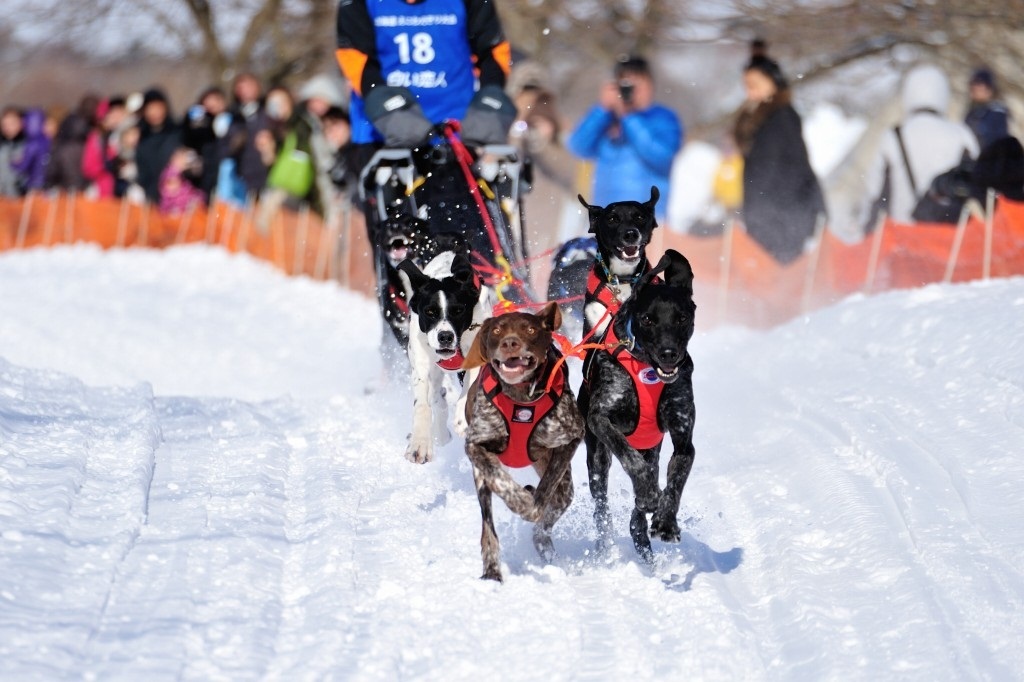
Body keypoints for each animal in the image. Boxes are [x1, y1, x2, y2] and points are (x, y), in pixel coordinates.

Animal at [397, 233, 493, 462]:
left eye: (459, 310)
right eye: (429, 312)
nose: (445, 337)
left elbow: (471, 385)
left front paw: (462, 419)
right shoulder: (421, 360)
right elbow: (423, 404)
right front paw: (420, 443)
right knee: (437, 398)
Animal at [464, 303, 585, 577]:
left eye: (530, 329)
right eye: (497, 330)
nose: (510, 343)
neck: (520, 398)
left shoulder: (571, 437)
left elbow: (543, 495)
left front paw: (530, 501)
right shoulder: (475, 444)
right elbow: (499, 480)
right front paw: (519, 498)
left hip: (562, 483)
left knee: (553, 508)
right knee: (488, 526)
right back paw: (492, 571)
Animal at [585, 246, 696, 561]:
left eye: (682, 318)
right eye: (647, 319)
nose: (670, 354)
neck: (647, 370)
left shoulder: (684, 439)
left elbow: (674, 484)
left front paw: (666, 521)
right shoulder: (600, 419)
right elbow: (629, 457)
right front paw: (647, 493)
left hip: (653, 450)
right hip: (597, 458)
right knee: (601, 504)